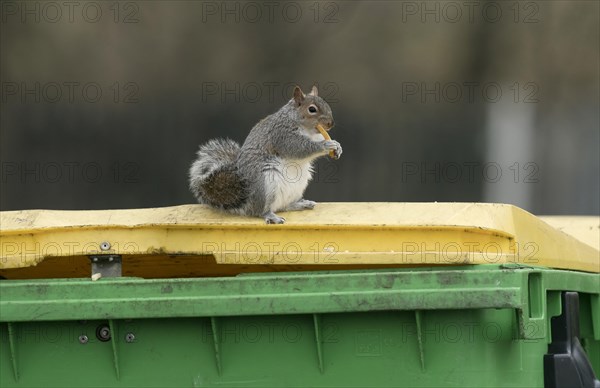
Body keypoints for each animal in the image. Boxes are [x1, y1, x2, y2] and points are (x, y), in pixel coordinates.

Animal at [190, 85, 340, 224]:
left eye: (326, 104)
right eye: (312, 109)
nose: (331, 123)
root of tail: (248, 201)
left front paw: (337, 146)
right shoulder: (282, 135)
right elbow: (298, 148)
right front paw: (325, 145)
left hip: (299, 183)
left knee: (284, 206)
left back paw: (300, 204)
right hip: (266, 184)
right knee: (261, 211)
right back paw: (271, 216)